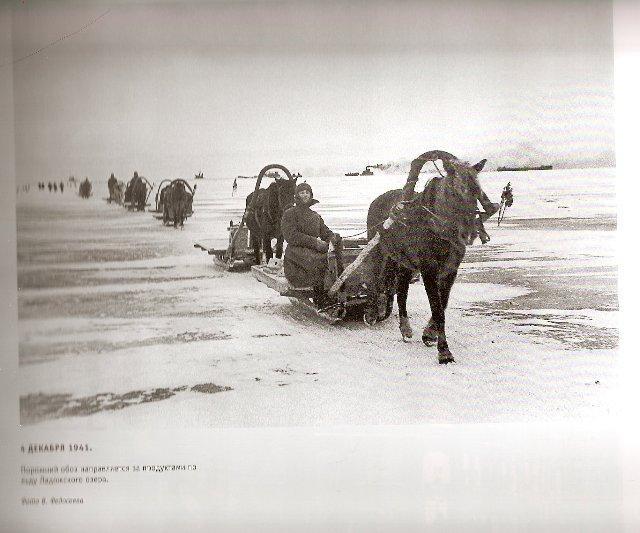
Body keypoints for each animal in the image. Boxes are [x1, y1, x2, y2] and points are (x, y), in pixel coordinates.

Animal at [364, 154, 496, 362]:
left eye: (477, 191)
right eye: (454, 191)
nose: (469, 233)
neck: (439, 227)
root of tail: (376, 201)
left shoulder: (450, 269)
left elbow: (443, 303)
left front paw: (429, 334)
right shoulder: (428, 269)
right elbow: (437, 308)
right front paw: (444, 351)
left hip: (404, 261)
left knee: (401, 289)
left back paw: (404, 327)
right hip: (379, 252)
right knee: (374, 278)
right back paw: (373, 312)